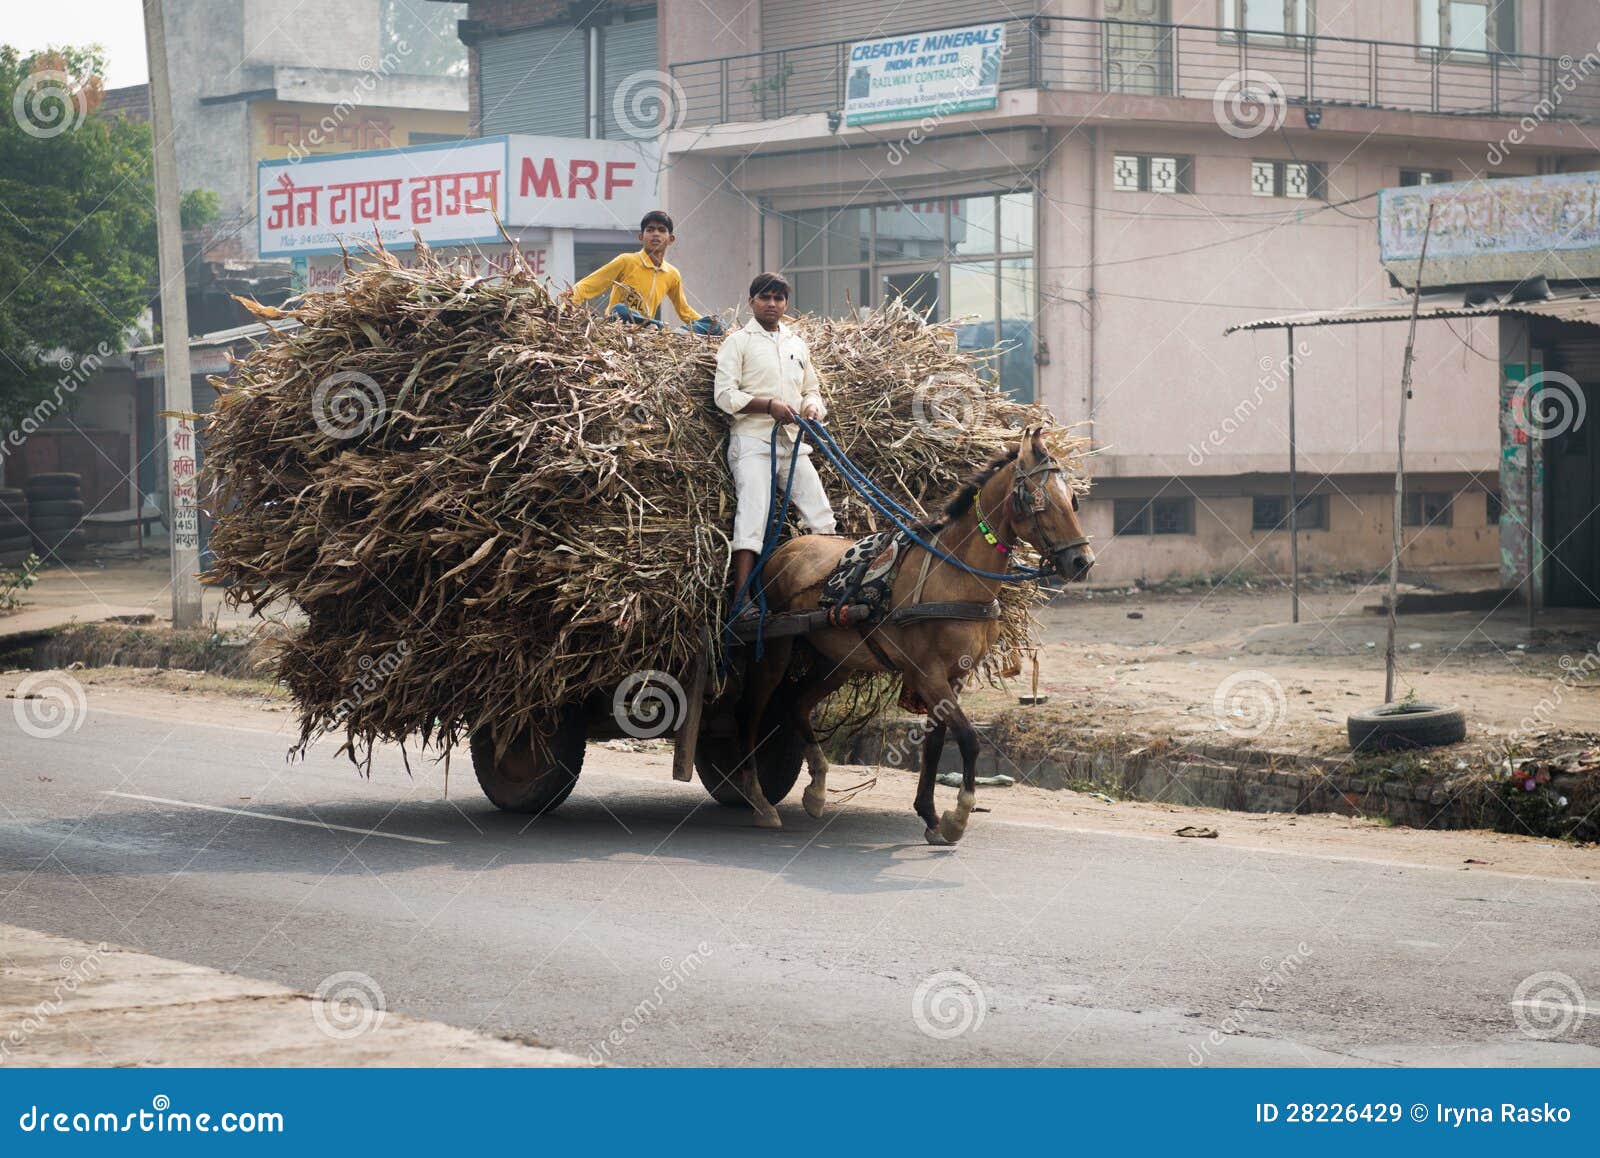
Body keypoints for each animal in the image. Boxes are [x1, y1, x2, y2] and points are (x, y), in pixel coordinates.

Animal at [732, 428, 1088, 844]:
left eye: (1073, 500)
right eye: (1039, 500)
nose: (1083, 561)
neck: (955, 576)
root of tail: (787, 546)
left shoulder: (954, 676)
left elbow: (935, 742)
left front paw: (931, 816)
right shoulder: (928, 673)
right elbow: (968, 739)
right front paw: (957, 817)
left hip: (836, 660)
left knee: (796, 703)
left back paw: (817, 789)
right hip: (775, 648)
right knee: (752, 709)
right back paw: (758, 798)